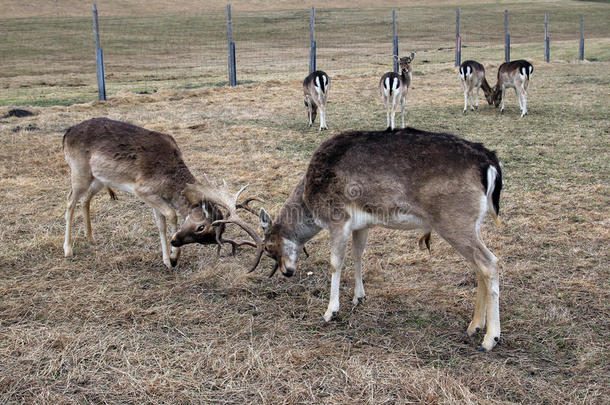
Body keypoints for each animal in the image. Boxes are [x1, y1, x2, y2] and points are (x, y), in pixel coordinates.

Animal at [59, 118, 254, 266]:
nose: (176, 241)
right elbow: (171, 215)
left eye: (209, 239)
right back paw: (68, 249)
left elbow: (160, 223)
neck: (169, 180)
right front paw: (174, 258)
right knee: (69, 200)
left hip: (99, 179)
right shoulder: (143, 190)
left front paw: (166, 260)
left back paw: (91, 238)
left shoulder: (154, 197)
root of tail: (67, 133)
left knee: (85, 200)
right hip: (79, 171)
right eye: (201, 227)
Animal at [240, 127, 502, 350]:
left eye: (270, 247)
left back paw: (490, 338)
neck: (310, 201)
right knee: (479, 267)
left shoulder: (338, 219)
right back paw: (474, 326)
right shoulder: (362, 225)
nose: (287, 272)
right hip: (473, 223)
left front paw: (330, 311)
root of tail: (489, 162)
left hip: (454, 220)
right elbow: (358, 255)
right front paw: (358, 297)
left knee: (489, 262)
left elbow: (335, 263)